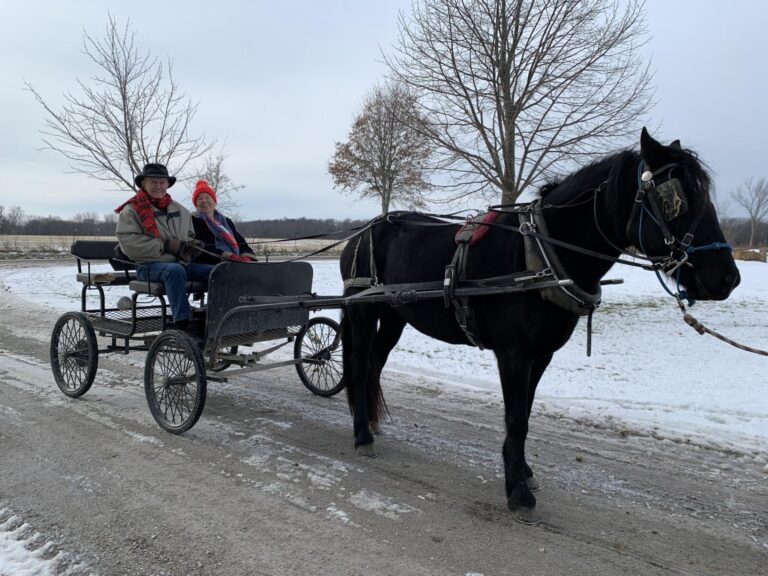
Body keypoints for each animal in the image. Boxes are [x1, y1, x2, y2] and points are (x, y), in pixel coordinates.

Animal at [338, 128, 740, 523]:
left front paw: (521, 472)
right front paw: (518, 492)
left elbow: (526, 414)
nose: (727, 278)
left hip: (395, 315)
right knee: (359, 367)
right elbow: (516, 419)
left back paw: (371, 422)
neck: (539, 256)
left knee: (374, 364)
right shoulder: (513, 355)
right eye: (675, 198)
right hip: (363, 312)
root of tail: (362, 231)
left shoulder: (541, 354)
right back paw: (361, 436)